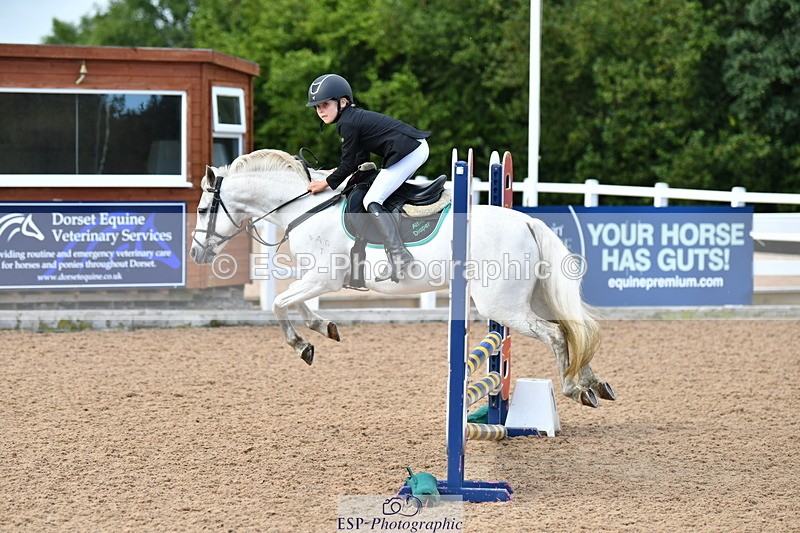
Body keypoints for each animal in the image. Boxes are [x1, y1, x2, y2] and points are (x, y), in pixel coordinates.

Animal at [190, 149, 615, 407]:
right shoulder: (317, 278)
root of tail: (526, 221)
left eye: (202, 208)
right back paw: (594, 385)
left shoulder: (324, 278)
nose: (196, 254)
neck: (304, 207)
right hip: (533, 296)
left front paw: (303, 346)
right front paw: (324, 328)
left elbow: (280, 303)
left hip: (502, 305)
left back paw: (573, 388)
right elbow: (298, 303)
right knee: (571, 328)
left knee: (556, 334)